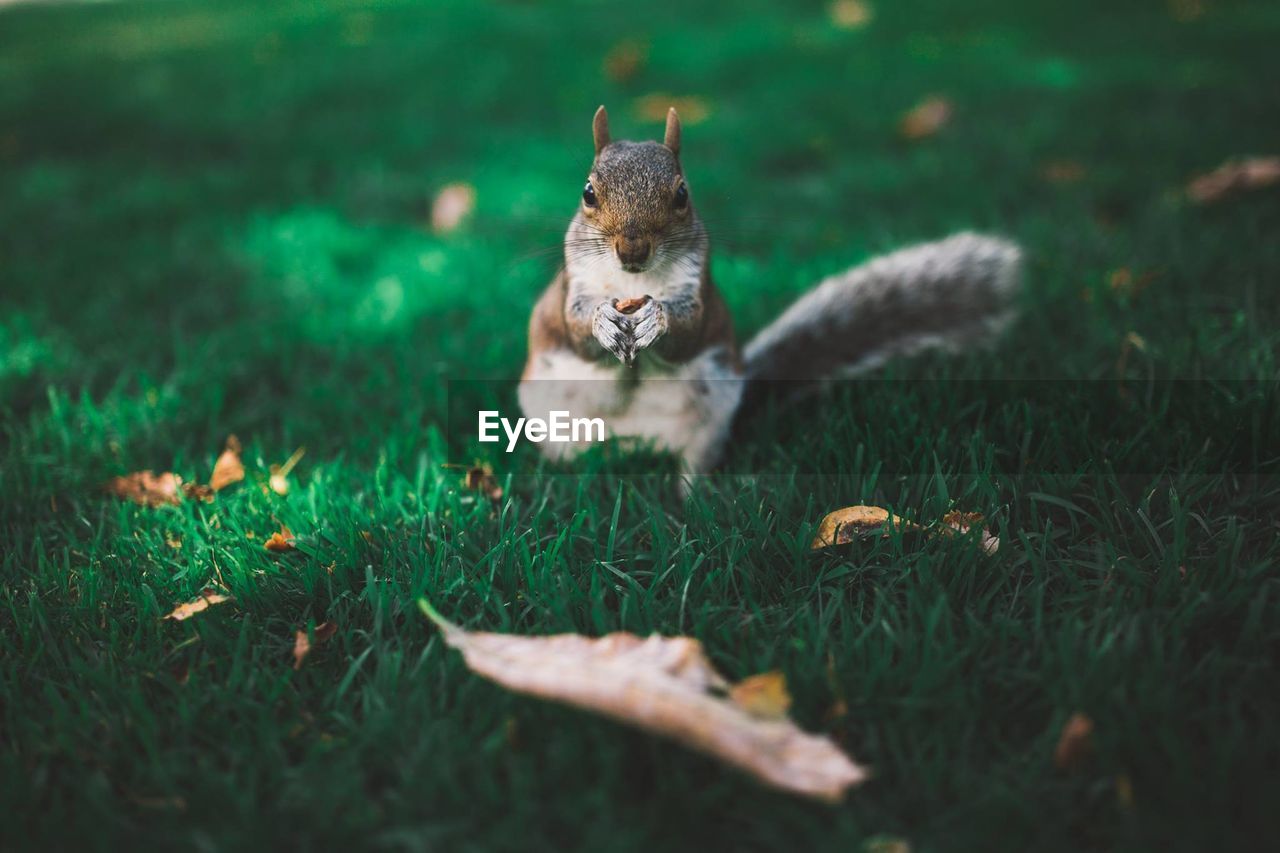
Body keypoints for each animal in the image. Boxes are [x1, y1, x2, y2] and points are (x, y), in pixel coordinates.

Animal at [514, 104, 1024, 479]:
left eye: (682, 194)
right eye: (588, 193)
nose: (632, 249)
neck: (633, 282)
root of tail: (634, 445)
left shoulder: (699, 288)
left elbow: (690, 330)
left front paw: (657, 319)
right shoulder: (573, 285)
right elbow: (574, 326)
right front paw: (602, 321)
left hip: (709, 419)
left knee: (693, 464)